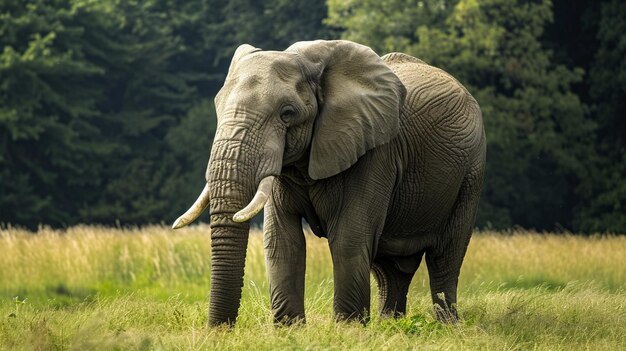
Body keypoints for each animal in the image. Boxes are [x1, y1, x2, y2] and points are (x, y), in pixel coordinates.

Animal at [173, 40, 486, 326]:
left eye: (287, 114)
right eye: (217, 107)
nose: (220, 330)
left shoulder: (375, 152)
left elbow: (349, 237)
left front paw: (348, 329)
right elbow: (281, 240)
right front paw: (290, 330)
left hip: (471, 173)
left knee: (445, 257)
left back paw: (448, 327)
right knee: (389, 268)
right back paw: (391, 325)